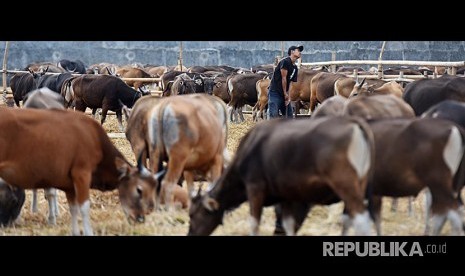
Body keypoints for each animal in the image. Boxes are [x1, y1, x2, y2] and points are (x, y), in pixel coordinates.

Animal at [0, 108, 158, 235]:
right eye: (139, 190)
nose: (140, 218)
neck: (94, 138)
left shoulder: (69, 187)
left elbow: (74, 209)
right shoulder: (82, 175)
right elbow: (84, 207)